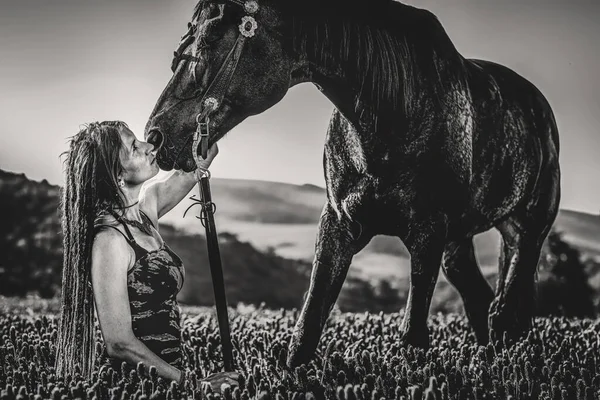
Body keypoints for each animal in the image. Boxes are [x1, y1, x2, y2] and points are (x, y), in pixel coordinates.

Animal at [143, 0, 560, 368]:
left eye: (211, 39)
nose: (155, 137)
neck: (393, 109)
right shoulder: (339, 224)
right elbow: (306, 331)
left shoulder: (429, 232)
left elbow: (413, 337)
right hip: (458, 243)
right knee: (481, 302)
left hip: (527, 229)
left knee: (505, 312)